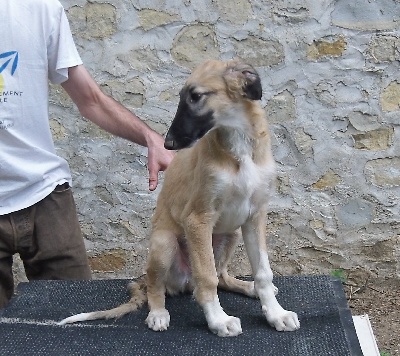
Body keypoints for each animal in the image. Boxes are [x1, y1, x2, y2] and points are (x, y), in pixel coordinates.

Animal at [59, 58, 300, 336]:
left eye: (195, 97)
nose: (168, 144)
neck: (238, 146)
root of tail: (183, 282)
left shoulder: (255, 216)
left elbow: (262, 272)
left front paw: (276, 314)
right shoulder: (198, 219)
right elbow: (206, 278)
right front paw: (218, 320)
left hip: (231, 234)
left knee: (221, 275)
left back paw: (247, 287)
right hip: (165, 244)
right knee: (159, 285)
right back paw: (158, 313)